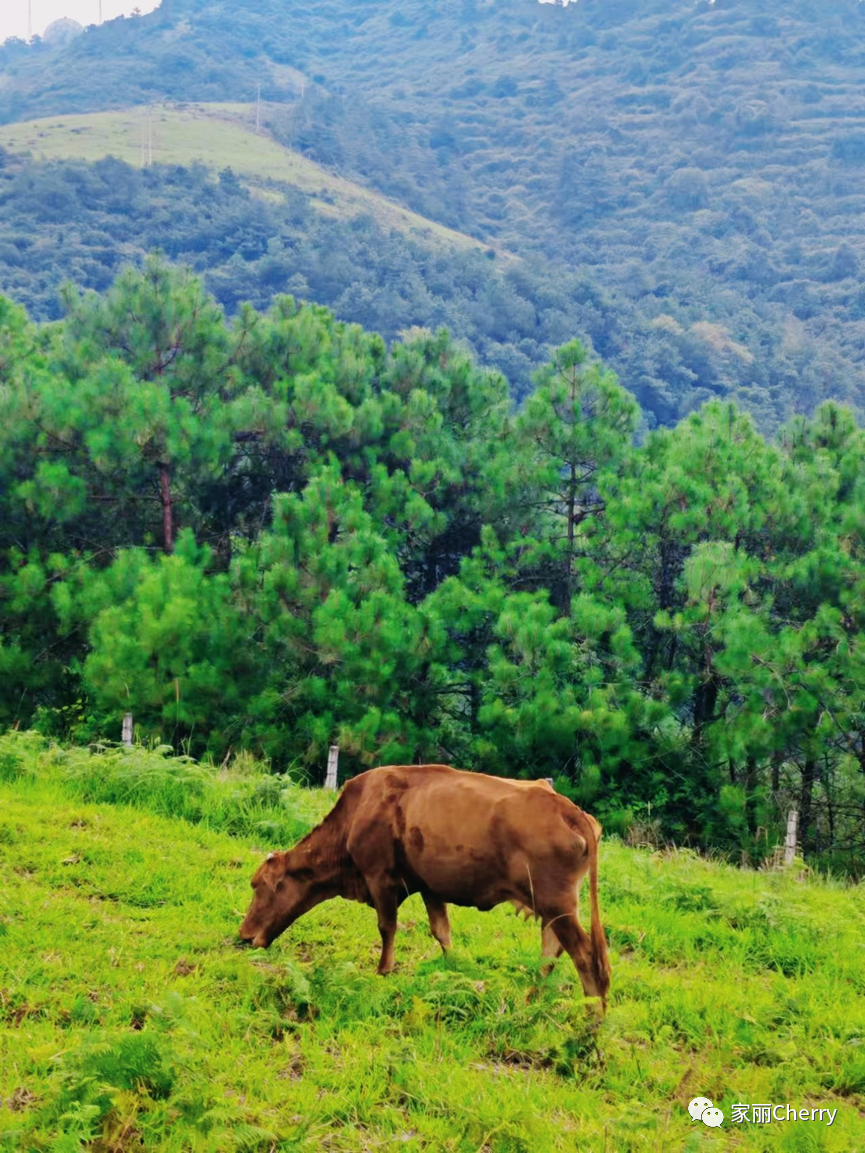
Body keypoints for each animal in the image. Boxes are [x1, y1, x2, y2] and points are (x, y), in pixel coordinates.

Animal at [241, 765, 613, 1010]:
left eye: (259, 887)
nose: (244, 936)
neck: (360, 809)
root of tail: (570, 809)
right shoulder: (429, 886)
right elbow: (441, 931)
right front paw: (454, 972)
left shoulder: (380, 878)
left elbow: (387, 927)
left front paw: (383, 971)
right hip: (552, 909)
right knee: (551, 952)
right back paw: (530, 999)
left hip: (557, 905)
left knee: (585, 956)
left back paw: (591, 1018)